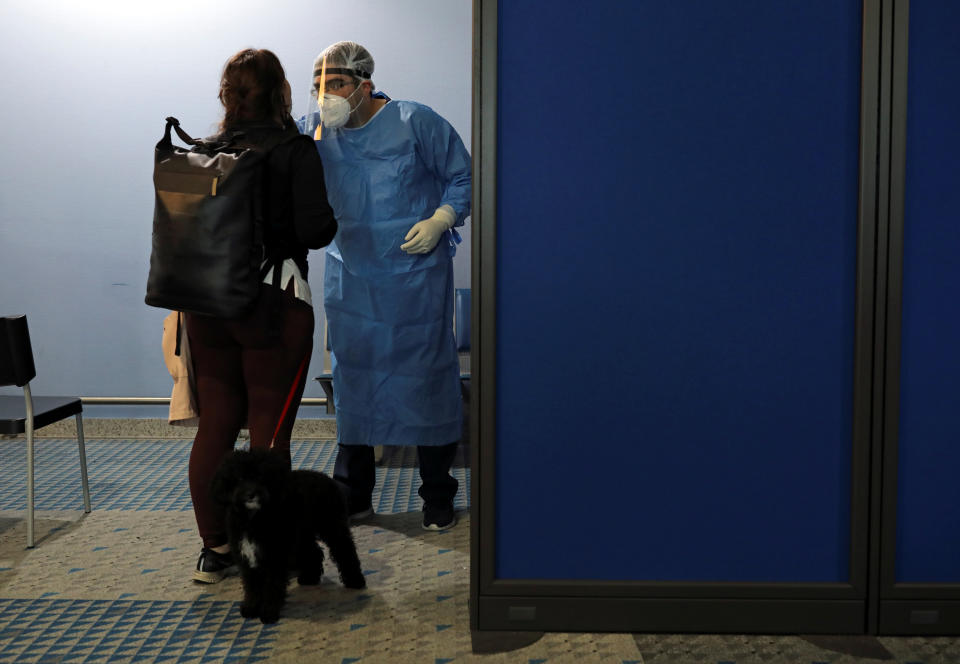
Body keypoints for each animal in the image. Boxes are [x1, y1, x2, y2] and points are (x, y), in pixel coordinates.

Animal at [211, 446, 368, 624]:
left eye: (260, 476)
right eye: (240, 477)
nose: (251, 493)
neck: (253, 519)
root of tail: (325, 477)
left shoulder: (274, 558)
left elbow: (272, 586)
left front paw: (269, 612)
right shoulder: (246, 558)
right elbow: (252, 586)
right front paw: (250, 608)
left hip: (332, 527)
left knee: (345, 551)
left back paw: (355, 581)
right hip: (302, 535)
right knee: (314, 553)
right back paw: (309, 578)